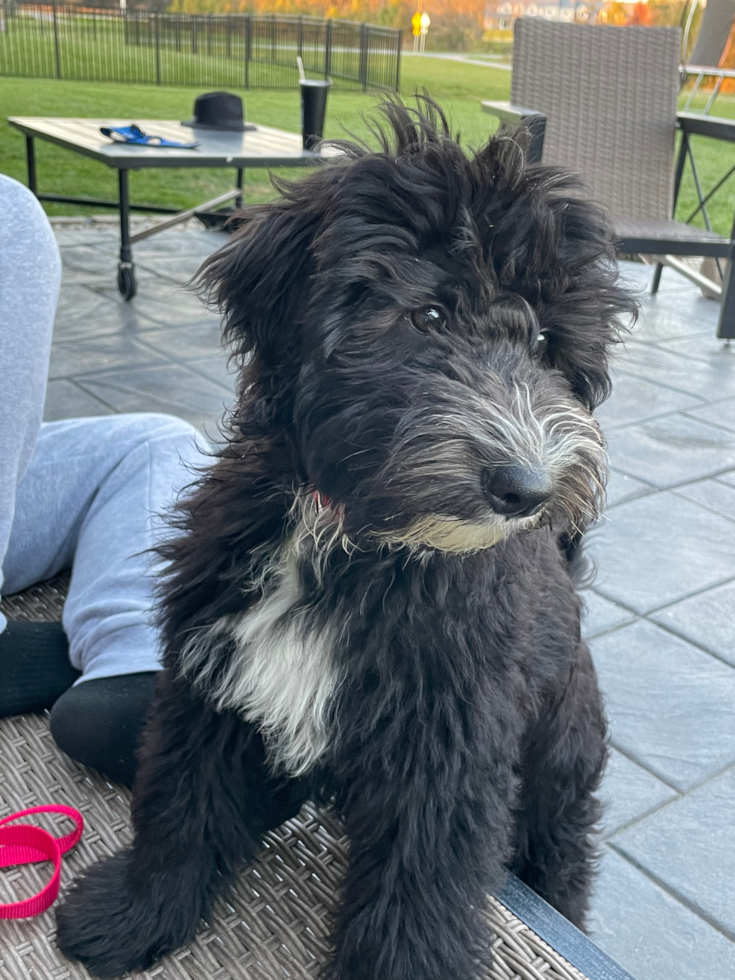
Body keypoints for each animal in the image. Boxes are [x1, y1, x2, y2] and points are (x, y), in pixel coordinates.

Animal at [54, 99, 636, 980]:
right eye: (427, 316)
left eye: (543, 344)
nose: (527, 489)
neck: (351, 536)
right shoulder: (211, 676)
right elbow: (181, 798)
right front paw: (135, 914)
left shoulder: (447, 752)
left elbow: (417, 901)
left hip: (557, 782)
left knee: (559, 858)